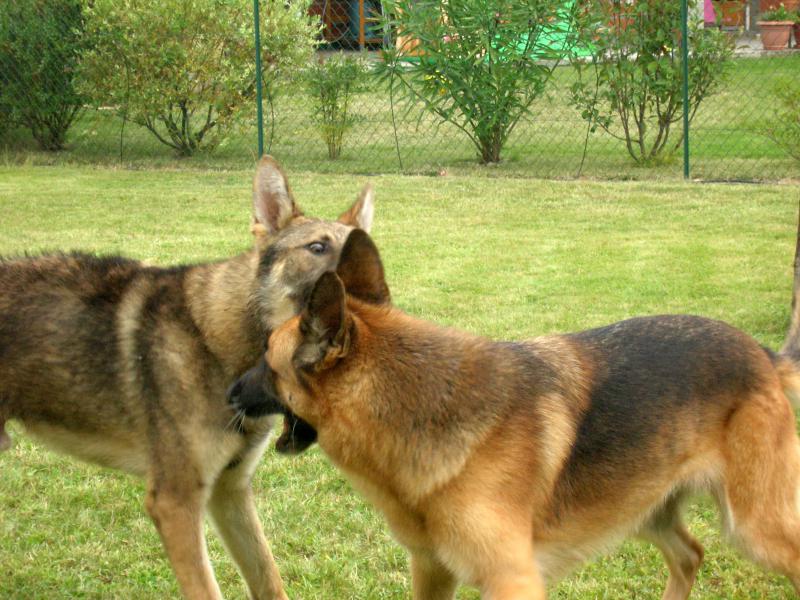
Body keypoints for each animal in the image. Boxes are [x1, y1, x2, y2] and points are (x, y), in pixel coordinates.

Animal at [0, 156, 376, 600]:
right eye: (318, 247)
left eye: (370, 249)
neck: (213, 339)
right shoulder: (175, 504)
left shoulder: (230, 495)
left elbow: (269, 579)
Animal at [231, 227, 800, 596]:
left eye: (267, 360)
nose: (230, 393)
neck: (419, 406)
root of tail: (763, 355)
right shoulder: (432, 571)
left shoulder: (513, 580)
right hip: (644, 508)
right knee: (690, 555)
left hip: (754, 529)